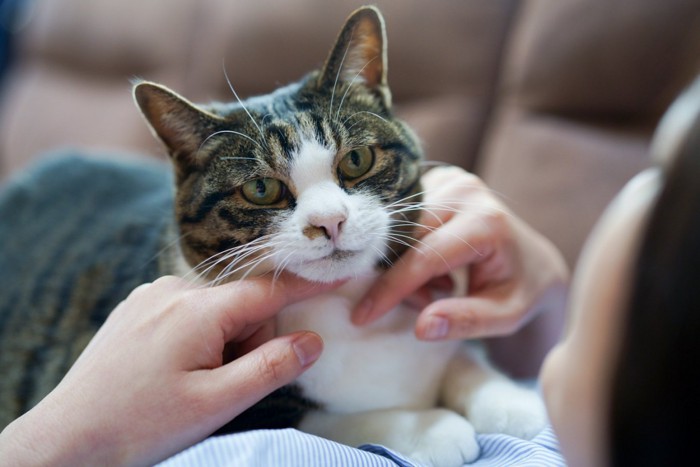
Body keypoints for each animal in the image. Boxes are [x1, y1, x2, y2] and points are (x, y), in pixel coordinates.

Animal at [0, 7, 548, 467]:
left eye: (356, 160)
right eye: (260, 189)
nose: (330, 221)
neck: (346, 308)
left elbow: (459, 353)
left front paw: (516, 403)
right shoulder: (225, 409)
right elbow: (311, 420)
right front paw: (432, 428)